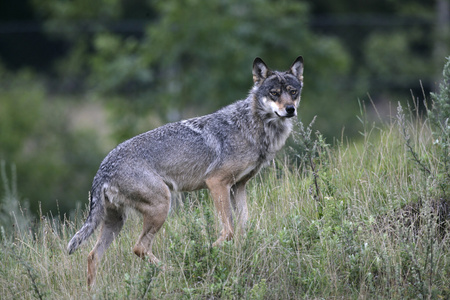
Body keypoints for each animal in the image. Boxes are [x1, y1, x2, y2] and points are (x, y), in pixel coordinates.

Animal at [67, 55, 304, 288]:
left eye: (293, 92)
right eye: (274, 93)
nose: (290, 109)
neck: (253, 126)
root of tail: (102, 168)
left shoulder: (239, 186)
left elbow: (243, 228)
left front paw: (240, 252)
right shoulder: (217, 182)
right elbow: (228, 231)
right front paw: (207, 251)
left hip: (117, 222)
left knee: (93, 255)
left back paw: (94, 292)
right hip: (162, 205)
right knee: (139, 247)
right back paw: (176, 269)